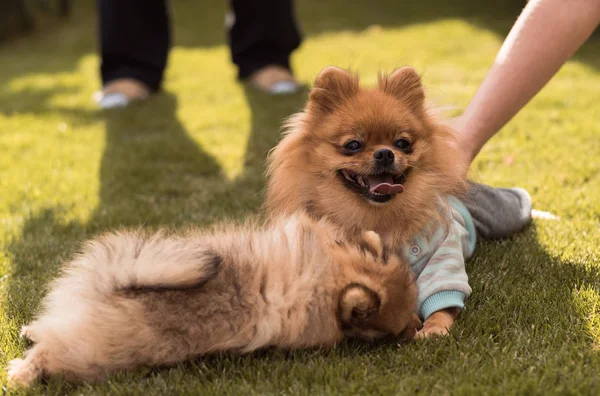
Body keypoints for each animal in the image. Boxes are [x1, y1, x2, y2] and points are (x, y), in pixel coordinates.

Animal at [264, 67, 476, 338]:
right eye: (353, 145)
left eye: (403, 143)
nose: (385, 153)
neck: (376, 215)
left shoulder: (442, 253)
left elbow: (443, 295)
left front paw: (435, 327)